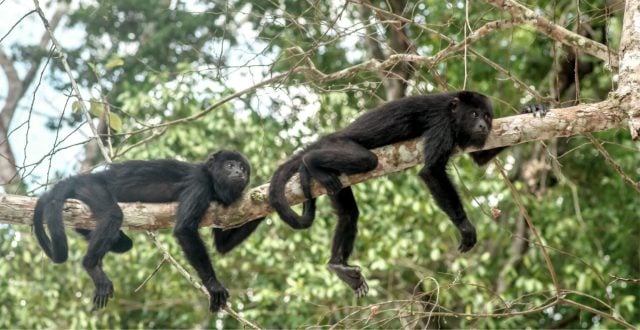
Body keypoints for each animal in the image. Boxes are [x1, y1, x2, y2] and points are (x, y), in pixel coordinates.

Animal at [33, 150, 264, 312]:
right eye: (229, 165)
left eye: (243, 168)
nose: (238, 172)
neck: (214, 182)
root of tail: (88, 176)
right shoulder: (200, 182)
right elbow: (185, 229)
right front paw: (213, 285)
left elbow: (222, 245)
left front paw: (267, 197)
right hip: (92, 188)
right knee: (112, 215)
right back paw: (91, 265)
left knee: (123, 242)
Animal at [268, 91, 544, 298]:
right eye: (475, 114)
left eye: (487, 116)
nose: (483, 125)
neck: (454, 113)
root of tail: (332, 135)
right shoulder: (442, 124)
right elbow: (431, 172)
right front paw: (465, 227)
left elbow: (479, 159)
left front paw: (529, 109)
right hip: (338, 145)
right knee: (366, 160)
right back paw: (309, 162)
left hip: (335, 182)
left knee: (348, 214)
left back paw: (337, 265)